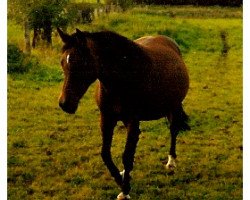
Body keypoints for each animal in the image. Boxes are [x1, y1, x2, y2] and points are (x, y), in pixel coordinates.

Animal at [56, 27, 189, 199]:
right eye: (62, 62)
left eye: (81, 63)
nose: (65, 104)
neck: (122, 79)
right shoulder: (107, 119)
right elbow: (106, 154)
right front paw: (121, 179)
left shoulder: (132, 121)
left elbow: (126, 156)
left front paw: (125, 190)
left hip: (173, 106)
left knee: (173, 130)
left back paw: (171, 161)